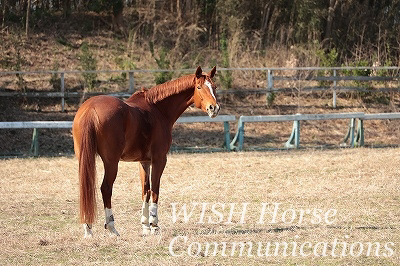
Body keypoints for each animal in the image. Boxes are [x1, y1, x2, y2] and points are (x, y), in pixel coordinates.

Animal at [73, 66, 220, 237]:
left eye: (214, 87)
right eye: (199, 87)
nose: (214, 108)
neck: (158, 110)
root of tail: (90, 109)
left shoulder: (143, 162)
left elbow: (145, 191)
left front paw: (145, 225)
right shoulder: (159, 160)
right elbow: (155, 190)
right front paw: (154, 225)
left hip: (84, 159)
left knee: (86, 189)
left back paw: (88, 228)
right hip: (111, 162)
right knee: (106, 188)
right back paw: (112, 227)